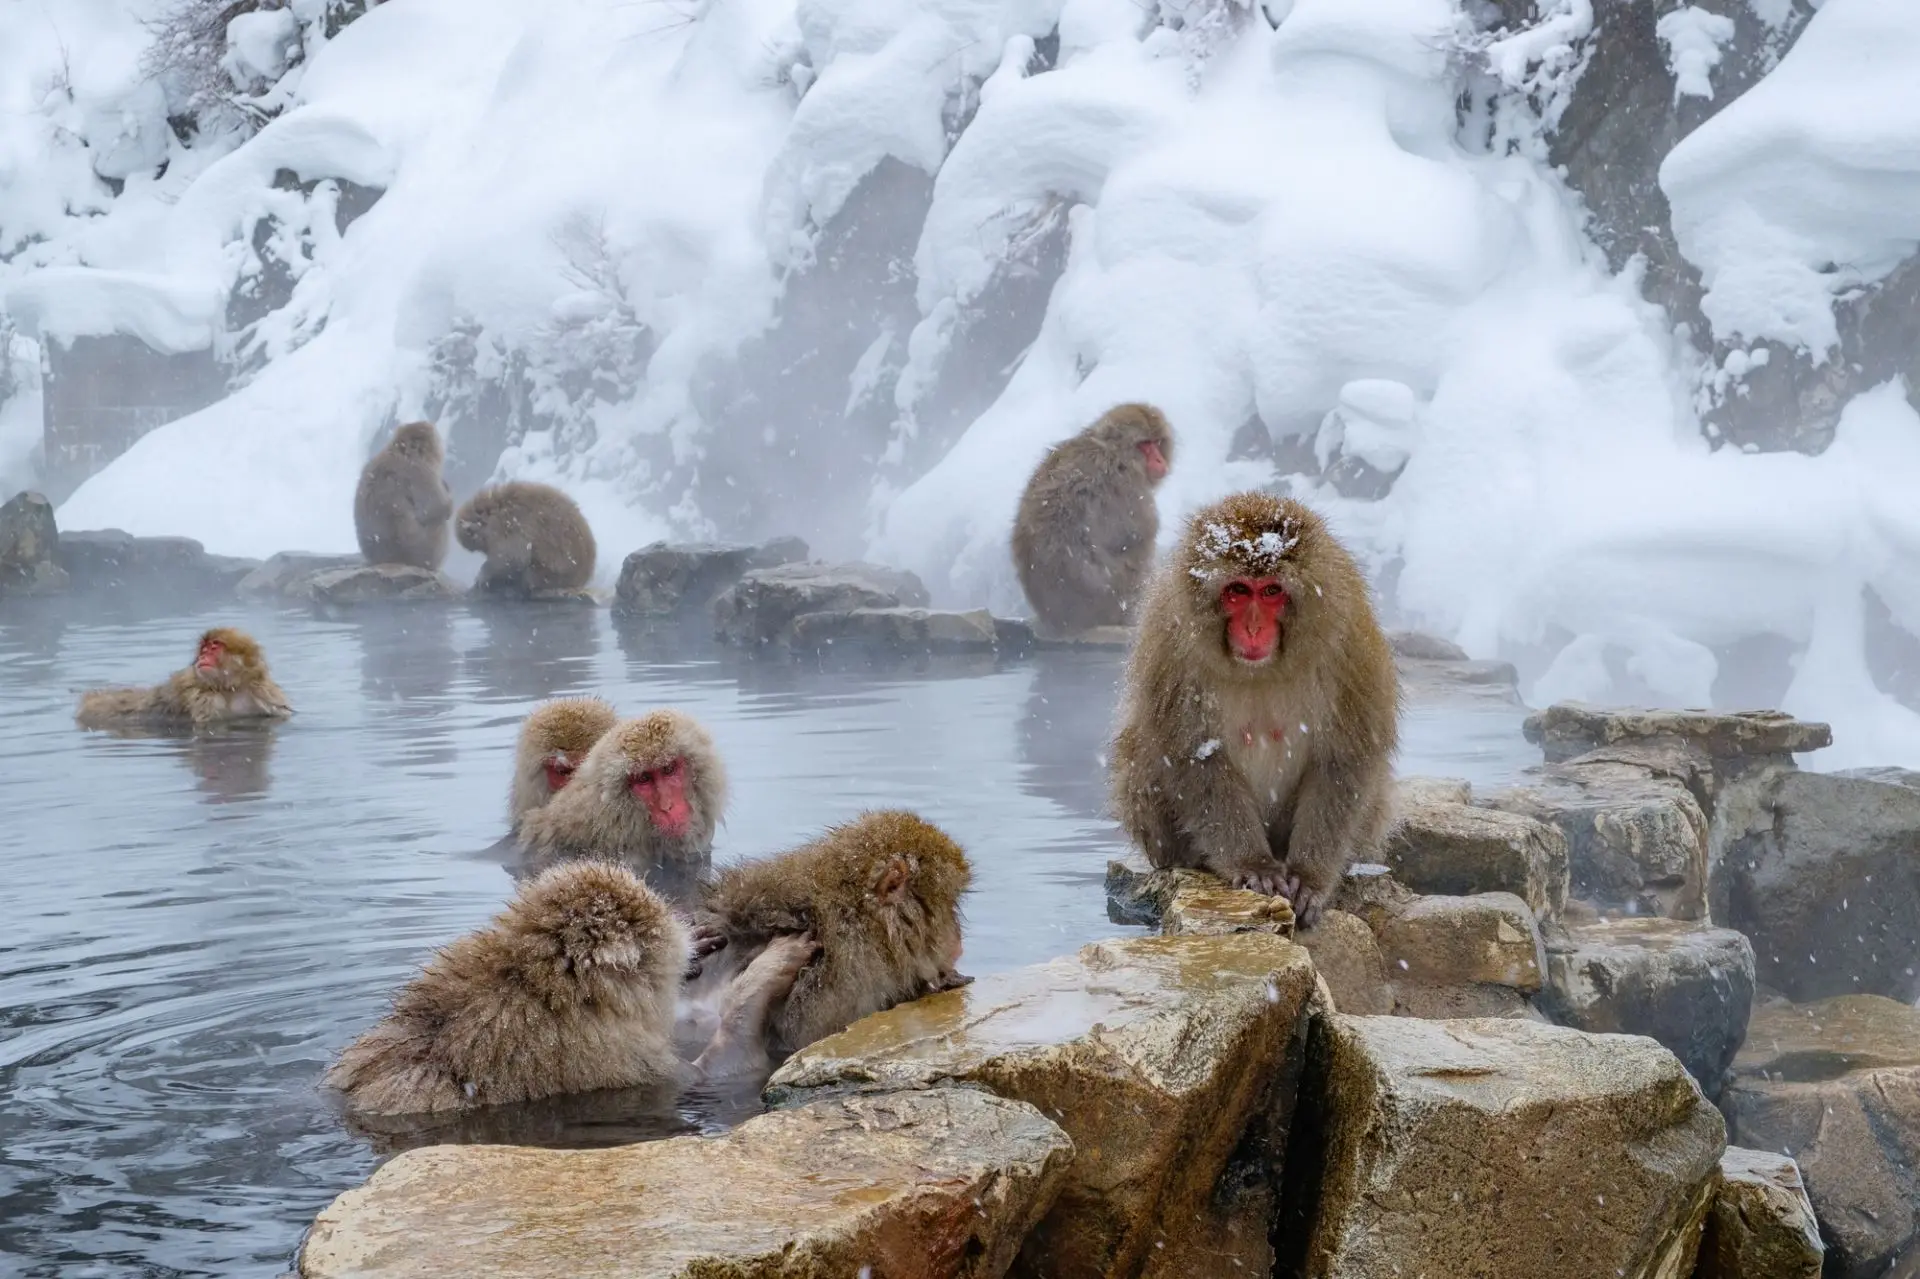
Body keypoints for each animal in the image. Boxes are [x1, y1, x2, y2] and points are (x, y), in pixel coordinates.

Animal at [75, 628, 293, 729]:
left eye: (215, 646)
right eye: (203, 648)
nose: (203, 656)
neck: (228, 688)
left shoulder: (264, 693)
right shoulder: (200, 698)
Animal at [1010, 402, 1174, 636]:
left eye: (1157, 443)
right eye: (1144, 445)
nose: (1160, 460)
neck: (1112, 451)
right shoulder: (1128, 488)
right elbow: (1133, 537)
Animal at [1108, 491, 1400, 928]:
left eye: (1272, 591)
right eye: (1238, 591)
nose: (1253, 629)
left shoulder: (1349, 639)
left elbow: (1345, 758)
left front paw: (1310, 877)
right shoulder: (1169, 642)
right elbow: (1192, 756)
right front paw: (1253, 865)